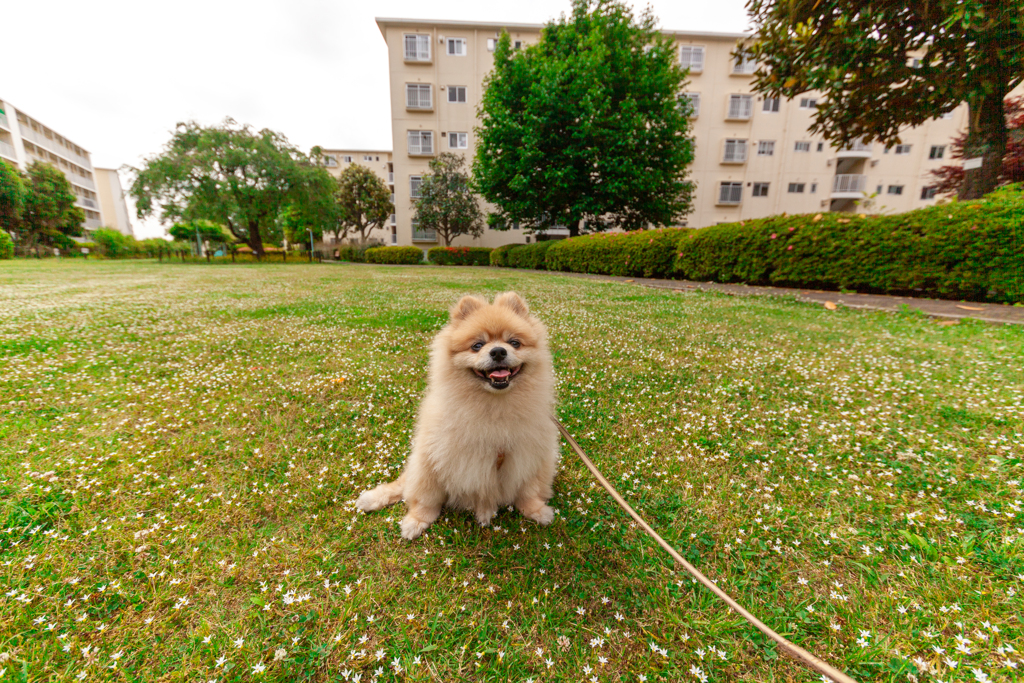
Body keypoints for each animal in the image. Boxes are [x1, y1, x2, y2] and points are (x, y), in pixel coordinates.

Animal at [354, 292, 561, 540]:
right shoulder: (434, 459)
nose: (498, 351)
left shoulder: (530, 455)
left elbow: (528, 491)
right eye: (477, 345)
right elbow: (426, 499)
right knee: (405, 486)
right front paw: (417, 520)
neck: (494, 407)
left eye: (514, 343)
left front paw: (536, 510)